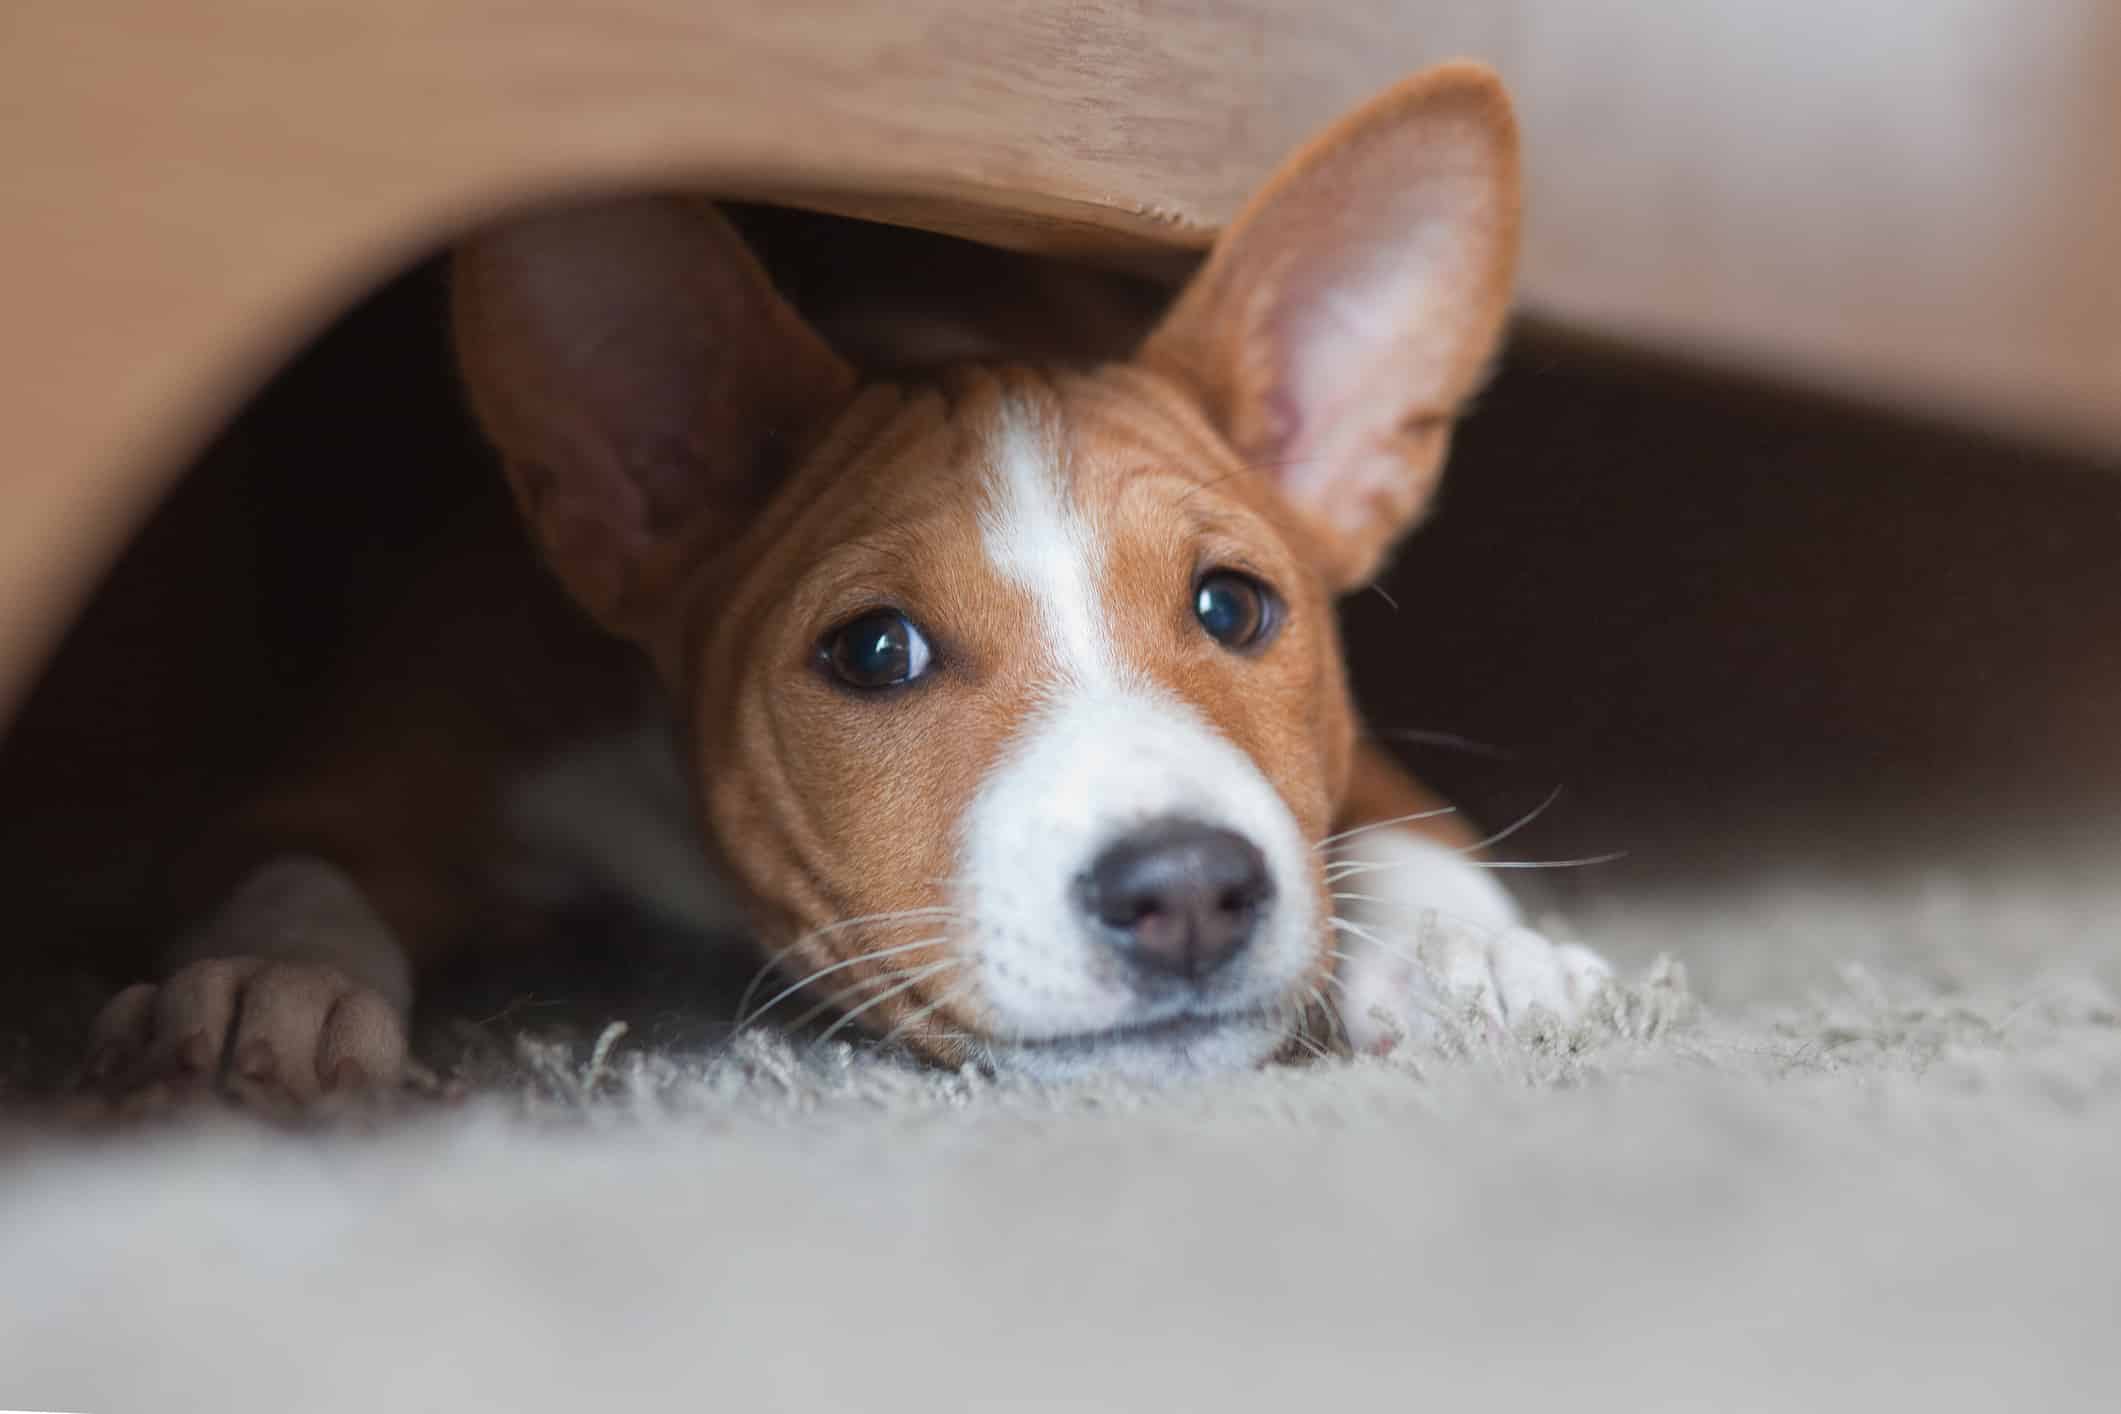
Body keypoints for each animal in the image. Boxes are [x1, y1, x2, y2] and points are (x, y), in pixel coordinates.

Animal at [78, 60, 1603, 1102]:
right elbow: (293, 870)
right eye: (874, 650)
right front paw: (269, 990)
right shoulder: (366, 760)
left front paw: (1469, 946)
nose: (1186, 889)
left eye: (1235, 607)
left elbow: (1394, 813)